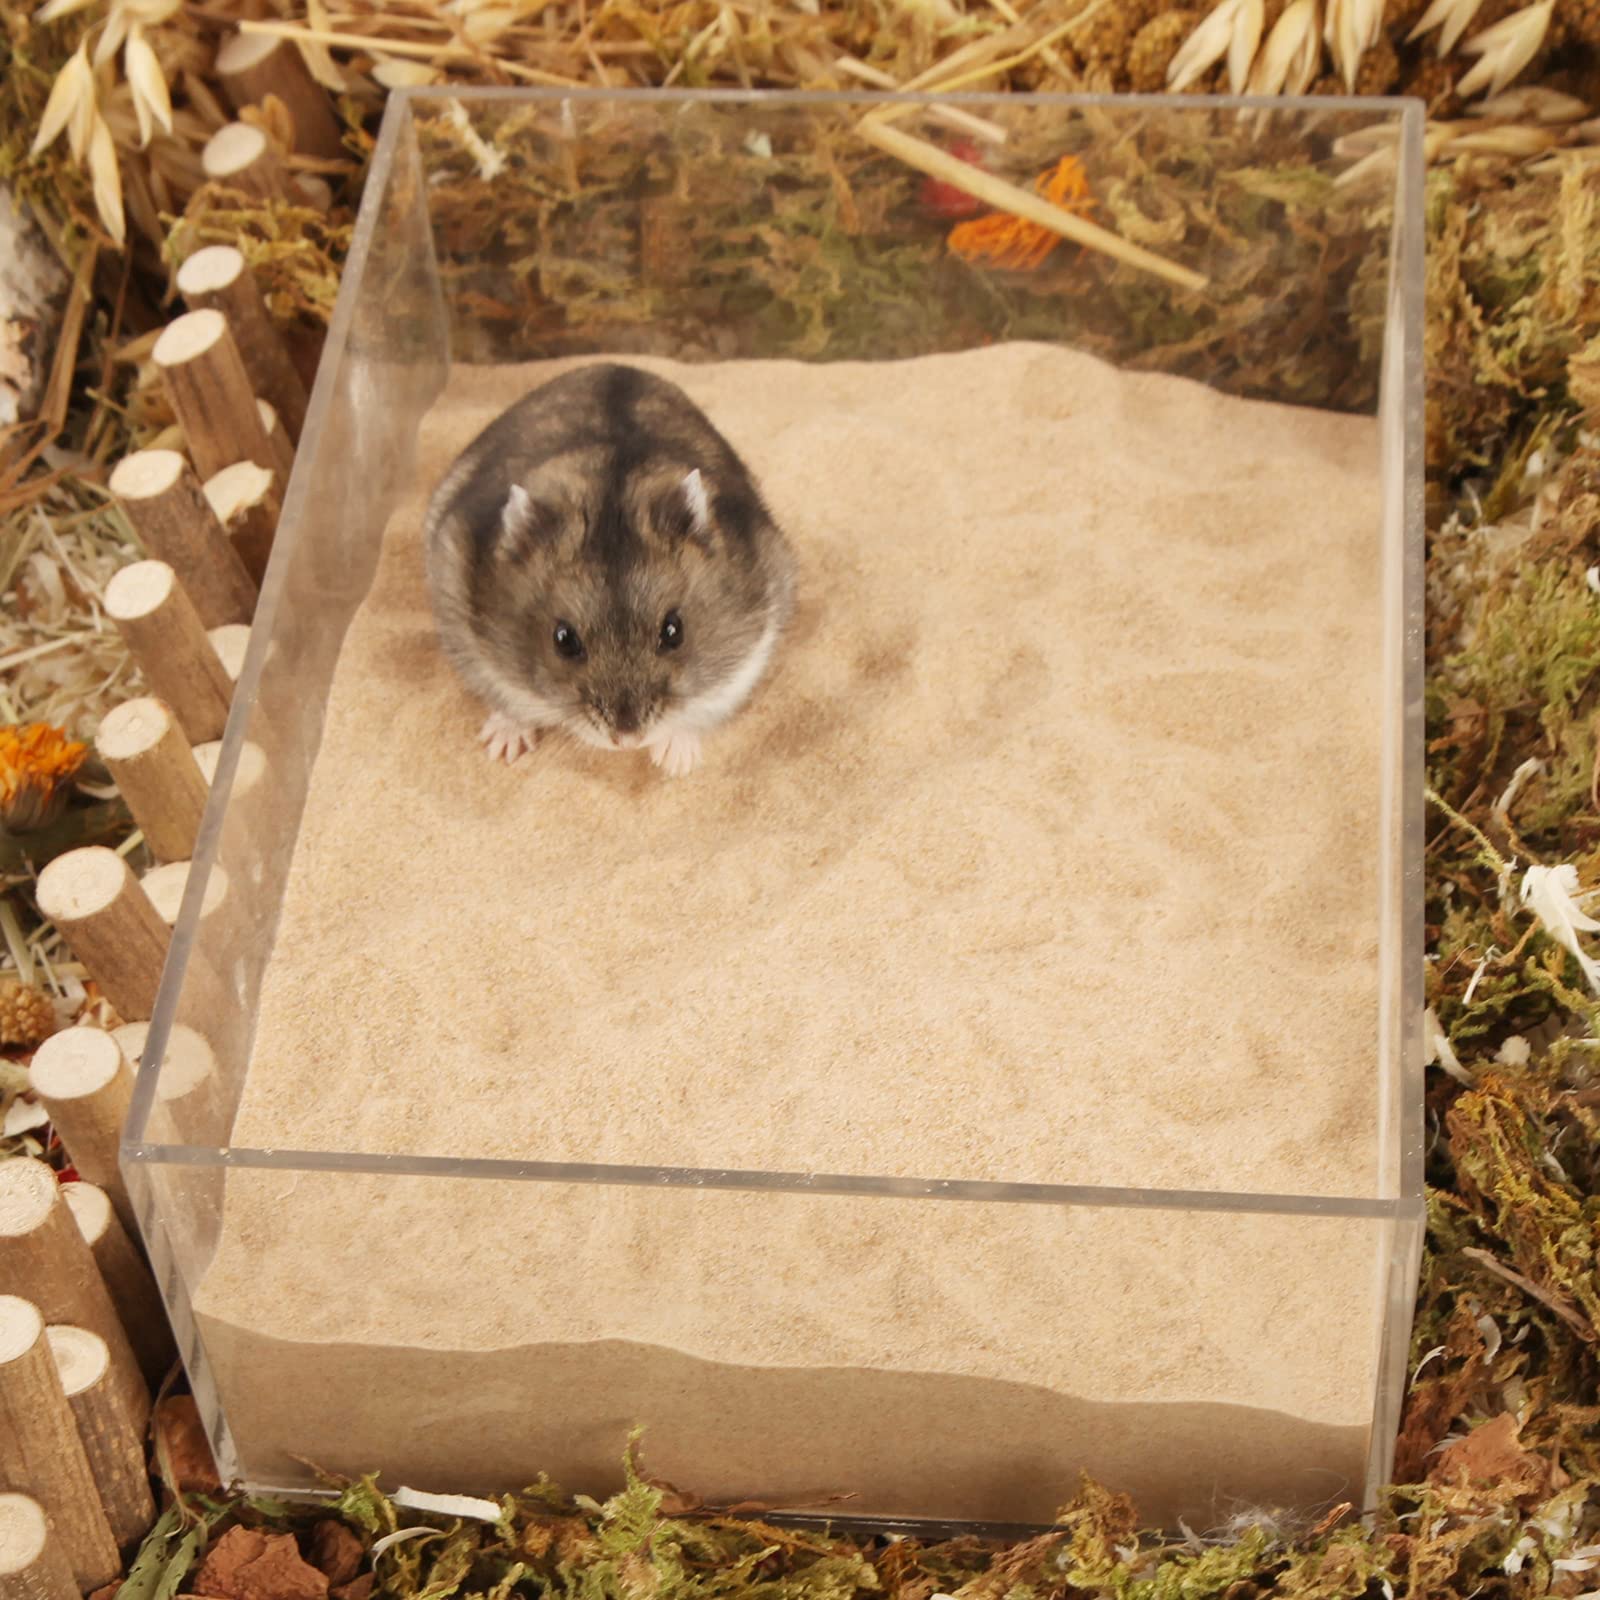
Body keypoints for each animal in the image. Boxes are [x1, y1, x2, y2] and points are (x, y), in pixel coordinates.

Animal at [423, 363, 797, 778]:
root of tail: (612, 364)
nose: (628, 741)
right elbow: (505, 698)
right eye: (563, 640)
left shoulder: (751, 651)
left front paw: (676, 763)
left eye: (674, 631)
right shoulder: (465, 630)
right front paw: (502, 749)